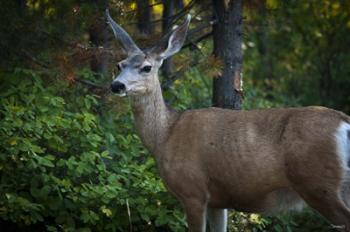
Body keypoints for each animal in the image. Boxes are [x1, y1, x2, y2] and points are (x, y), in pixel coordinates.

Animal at [105, 9, 350, 232]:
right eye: (119, 65)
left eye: (146, 67)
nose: (116, 85)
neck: (166, 134)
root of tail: (344, 122)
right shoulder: (218, 200)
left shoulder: (193, 191)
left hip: (318, 184)